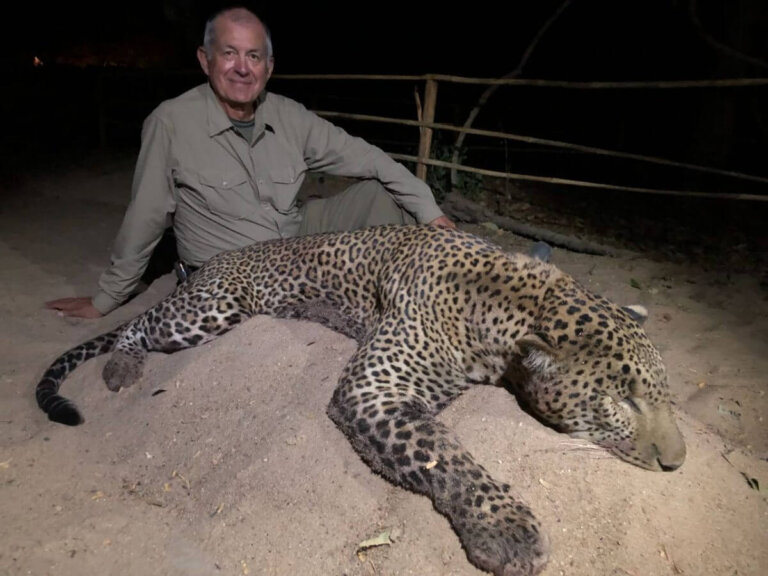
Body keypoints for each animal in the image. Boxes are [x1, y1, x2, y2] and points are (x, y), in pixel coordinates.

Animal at [36, 224, 685, 576]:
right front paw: (507, 531)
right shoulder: (375, 388)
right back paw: (121, 365)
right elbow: (444, 452)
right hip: (208, 309)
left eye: (661, 395)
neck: (509, 302)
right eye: (622, 399)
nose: (677, 463)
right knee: (139, 321)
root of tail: (210, 263)